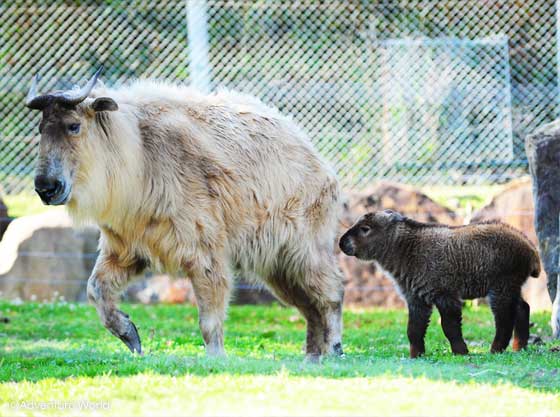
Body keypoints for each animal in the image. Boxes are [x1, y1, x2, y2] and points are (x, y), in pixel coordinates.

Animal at [340, 211, 540, 358]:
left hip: (501, 288)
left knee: (504, 319)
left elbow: (449, 327)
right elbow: (413, 330)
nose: (341, 243)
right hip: (511, 287)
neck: (407, 250)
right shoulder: (416, 299)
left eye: (365, 228)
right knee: (523, 308)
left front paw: (461, 352)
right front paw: (416, 356)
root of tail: (530, 249)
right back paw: (519, 347)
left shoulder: (445, 295)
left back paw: (496, 349)